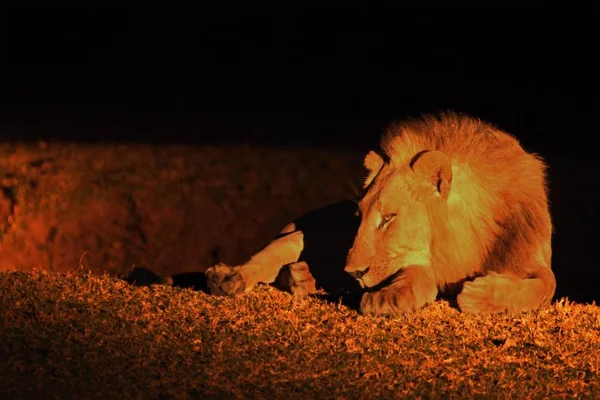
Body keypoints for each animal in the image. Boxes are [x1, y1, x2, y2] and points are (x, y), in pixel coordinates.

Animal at [204, 111, 556, 316]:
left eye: (388, 218)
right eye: (359, 217)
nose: (353, 271)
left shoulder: (533, 256)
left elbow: (544, 286)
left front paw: (478, 295)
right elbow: (415, 277)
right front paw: (387, 298)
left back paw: (303, 277)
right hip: (304, 233)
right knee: (268, 254)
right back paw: (228, 278)